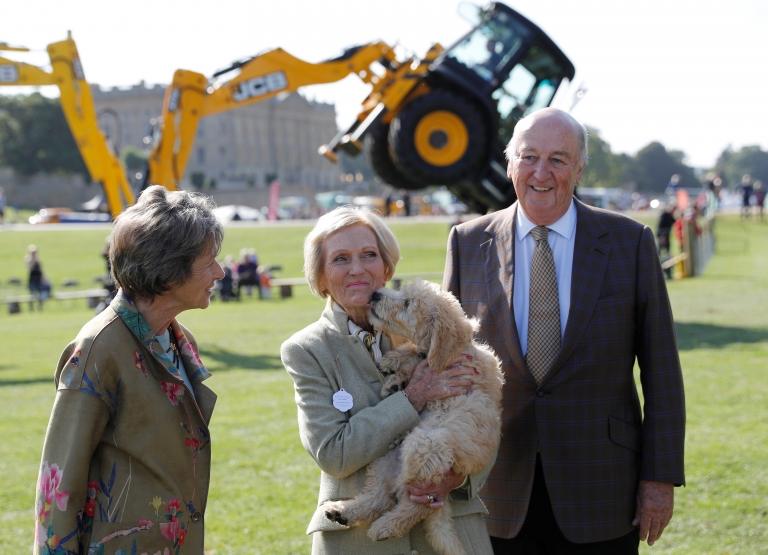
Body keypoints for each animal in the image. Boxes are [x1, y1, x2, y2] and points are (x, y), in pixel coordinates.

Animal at [322, 282, 504, 555]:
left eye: (407, 303)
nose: (375, 294)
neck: (456, 352)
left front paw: (396, 369)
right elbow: (414, 355)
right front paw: (394, 368)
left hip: (425, 446)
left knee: (416, 504)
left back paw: (384, 527)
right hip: (386, 457)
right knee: (379, 497)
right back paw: (343, 512)